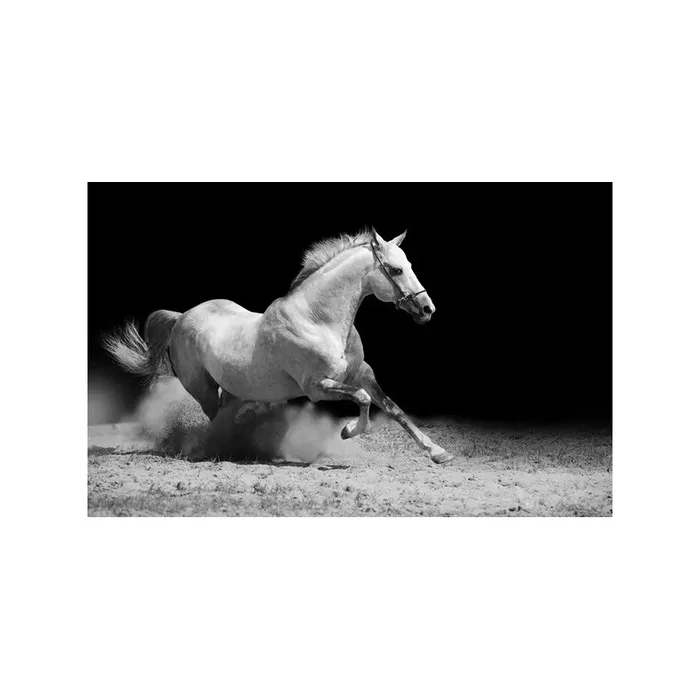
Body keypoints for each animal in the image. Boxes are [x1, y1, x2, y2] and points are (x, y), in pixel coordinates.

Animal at [105, 227, 455, 463]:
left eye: (410, 265)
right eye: (396, 269)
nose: (427, 309)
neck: (318, 320)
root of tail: (181, 317)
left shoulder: (363, 375)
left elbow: (394, 409)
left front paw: (438, 452)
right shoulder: (318, 387)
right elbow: (364, 400)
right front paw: (346, 431)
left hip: (232, 390)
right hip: (201, 389)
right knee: (214, 420)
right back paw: (215, 450)